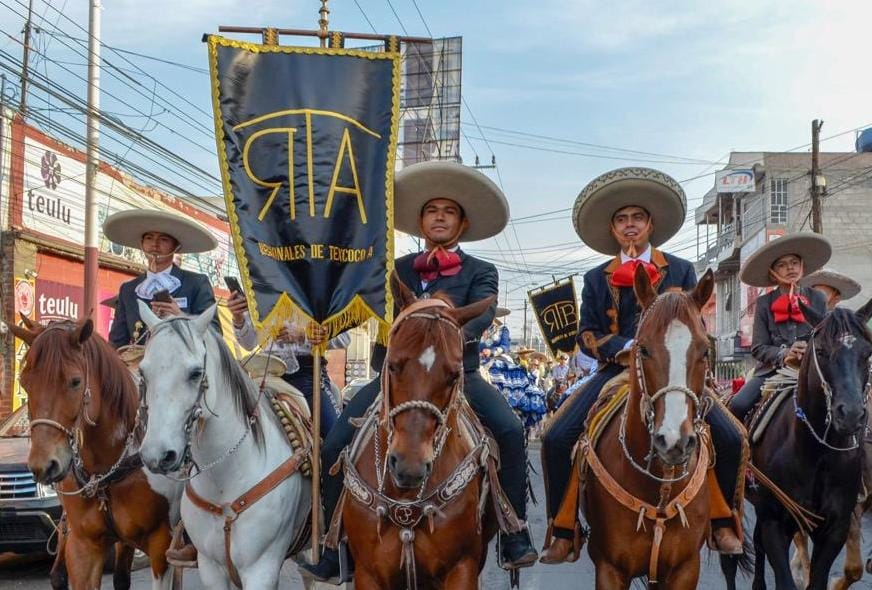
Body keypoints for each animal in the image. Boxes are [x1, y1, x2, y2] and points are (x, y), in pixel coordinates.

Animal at [136, 306, 314, 590]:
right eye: (143, 373)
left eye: (195, 373)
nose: (157, 455)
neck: (226, 480)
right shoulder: (211, 567)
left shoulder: (261, 570)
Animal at [724, 302, 872, 588]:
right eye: (822, 351)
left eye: (867, 353)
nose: (850, 414)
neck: (816, 453)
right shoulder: (776, 523)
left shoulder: (835, 527)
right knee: (730, 560)